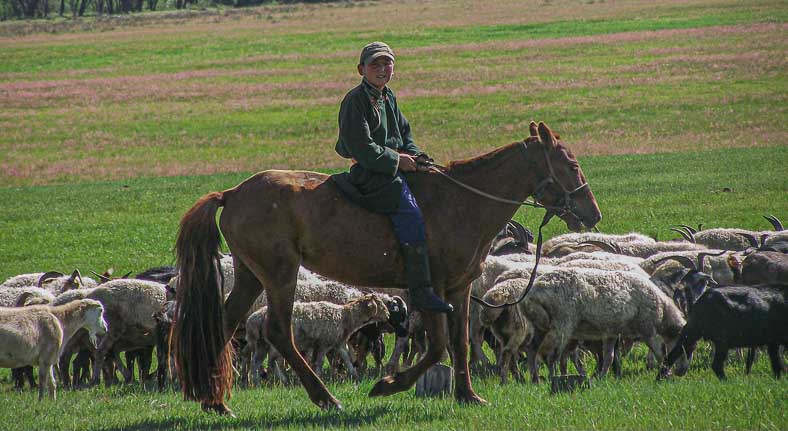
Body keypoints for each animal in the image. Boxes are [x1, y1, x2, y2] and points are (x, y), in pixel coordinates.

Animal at [172, 121, 600, 416]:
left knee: (223, 323)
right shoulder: (430, 291)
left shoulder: (459, 288)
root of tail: (233, 193)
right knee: (280, 331)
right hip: (280, 275)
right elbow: (438, 345)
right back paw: (326, 399)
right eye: (570, 164)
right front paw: (389, 384)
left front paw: (467, 395)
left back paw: (214, 401)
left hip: (250, 274)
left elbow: (459, 343)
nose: (592, 214)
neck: (461, 201)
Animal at [520, 268, 688, 384]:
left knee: (532, 351)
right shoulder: (648, 328)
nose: (683, 372)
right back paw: (552, 379)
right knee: (551, 356)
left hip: (540, 327)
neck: (663, 310)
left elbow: (609, 357)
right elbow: (660, 353)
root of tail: (532, 294)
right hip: (563, 323)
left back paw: (535, 380)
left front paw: (601, 377)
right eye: (685, 345)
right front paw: (666, 375)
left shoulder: (611, 332)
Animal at [660, 286, 788, 382]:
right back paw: (726, 381)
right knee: (716, 365)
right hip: (721, 341)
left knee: (669, 357)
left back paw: (659, 380)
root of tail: (700, 301)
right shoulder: (775, 341)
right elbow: (777, 362)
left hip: (691, 334)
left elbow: (776, 363)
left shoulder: (773, 343)